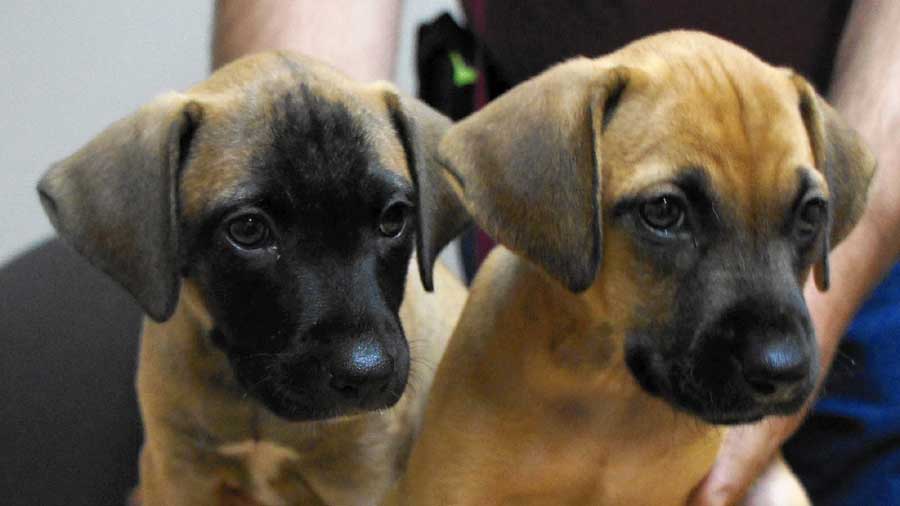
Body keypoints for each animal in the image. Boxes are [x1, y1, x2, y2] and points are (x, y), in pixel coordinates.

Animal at [38, 52, 468, 506]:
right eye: (247, 229)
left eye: (393, 219)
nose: (366, 374)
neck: (258, 410)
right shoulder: (176, 474)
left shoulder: (362, 478)